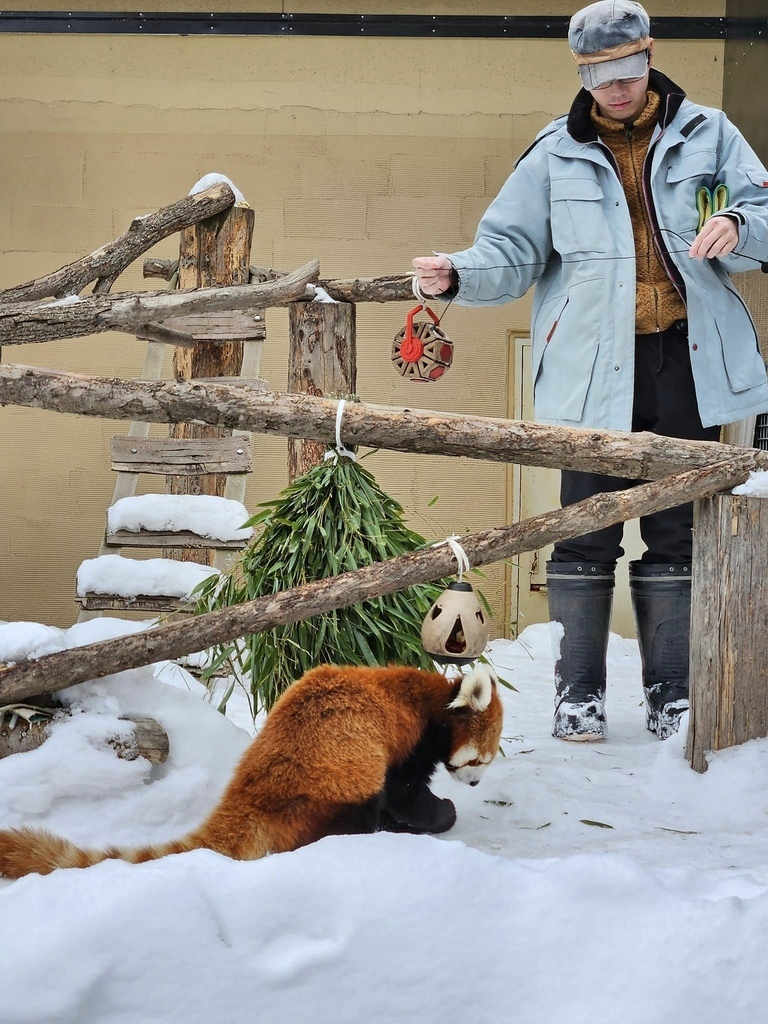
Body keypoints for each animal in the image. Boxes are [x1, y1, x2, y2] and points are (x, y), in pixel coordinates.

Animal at [0, 663, 505, 880]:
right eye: (481, 760)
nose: (479, 782)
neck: (432, 702)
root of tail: (249, 792)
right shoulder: (403, 742)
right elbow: (406, 792)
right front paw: (441, 813)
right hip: (331, 786)